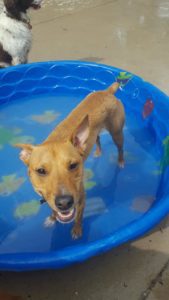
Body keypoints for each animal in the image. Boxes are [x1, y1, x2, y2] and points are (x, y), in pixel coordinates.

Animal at [15, 82, 124, 239]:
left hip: (116, 132)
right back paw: (98, 152)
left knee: (120, 148)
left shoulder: (81, 198)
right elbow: (53, 209)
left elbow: (78, 217)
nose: (64, 202)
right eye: (41, 171)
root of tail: (107, 91)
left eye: (73, 165)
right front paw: (52, 219)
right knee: (97, 138)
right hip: (94, 132)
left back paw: (121, 161)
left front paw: (77, 230)